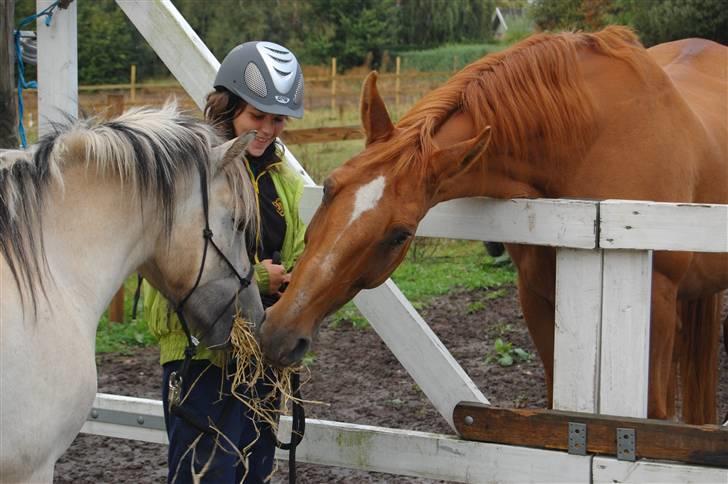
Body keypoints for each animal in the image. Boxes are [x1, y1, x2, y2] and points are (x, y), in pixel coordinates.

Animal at [258, 28, 724, 426]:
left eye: (400, 234)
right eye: (330, 187)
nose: (280, 332)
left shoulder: (653, 310)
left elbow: (655, 417)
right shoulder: (538, 297)